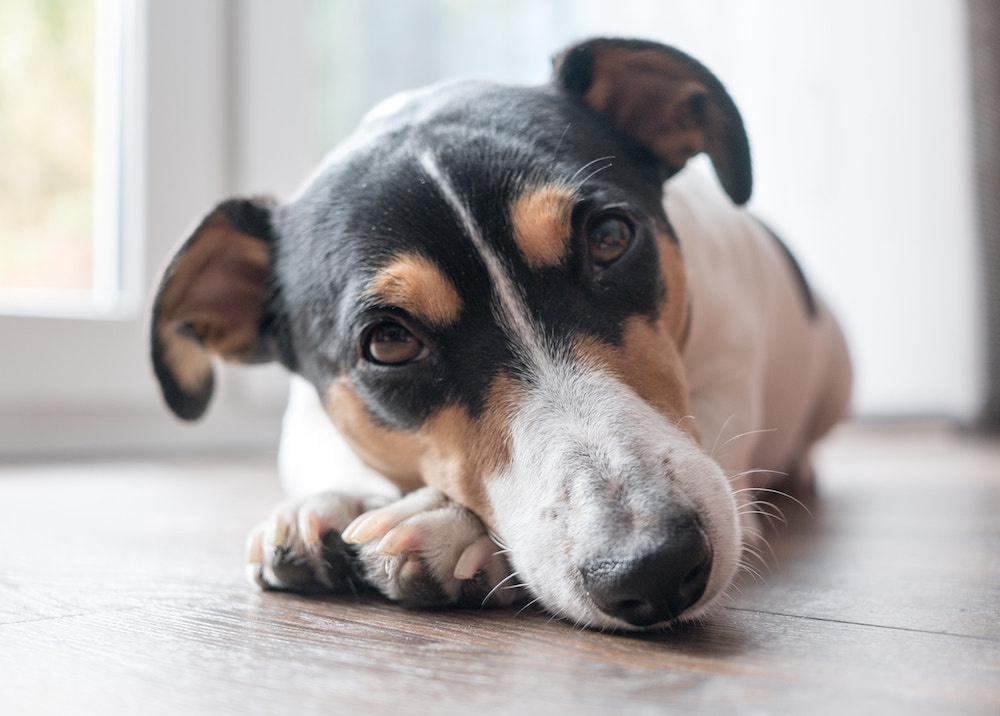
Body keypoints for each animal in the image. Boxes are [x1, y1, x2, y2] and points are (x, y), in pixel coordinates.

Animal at [150, 40, 852, 632]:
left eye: (610, 236)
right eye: (389, 342)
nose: (656, 568)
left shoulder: (729, 366)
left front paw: (447, 527)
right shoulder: (309, 411)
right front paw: (329, 502)